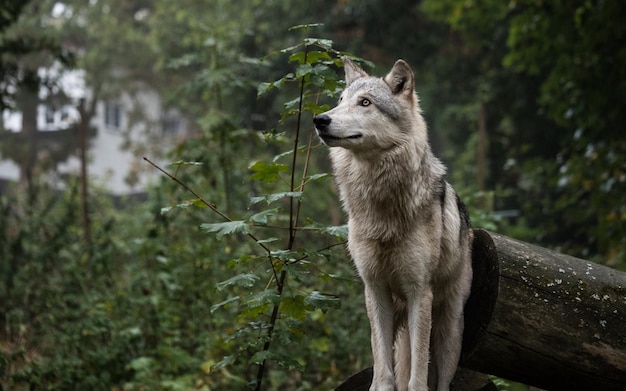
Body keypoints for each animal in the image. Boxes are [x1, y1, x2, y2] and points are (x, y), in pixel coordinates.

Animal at [314, 59, 470, 391]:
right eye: (340, 101)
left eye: (365, 103)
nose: (319, 119)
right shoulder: (375, 289)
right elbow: (382, 368)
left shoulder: (418, 292)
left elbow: (417, 378)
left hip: (448, 332)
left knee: (442, 378)